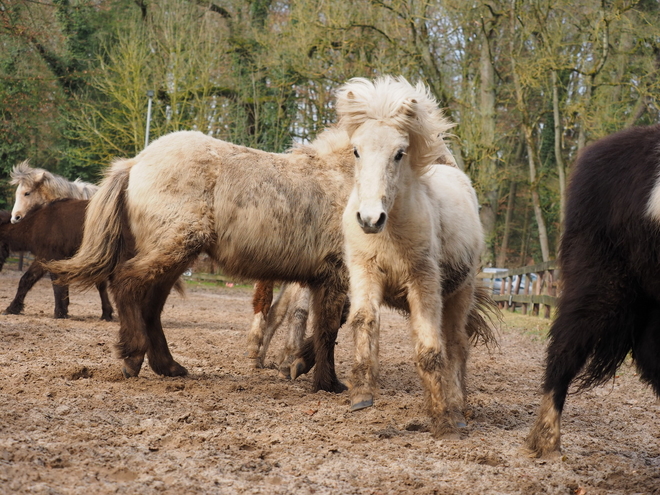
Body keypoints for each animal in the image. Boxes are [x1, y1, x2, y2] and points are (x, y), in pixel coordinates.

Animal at [336, 77, 484, 438]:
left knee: (456, 343)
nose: (369, 218)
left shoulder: (423, 280)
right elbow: (364, 320)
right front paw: (361, 396)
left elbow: (431, 348)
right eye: (356, 150)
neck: (391, 233)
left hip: (461, 293)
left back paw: (458, 408)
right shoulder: (364, 271)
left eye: (399, 153)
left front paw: (443, 420)